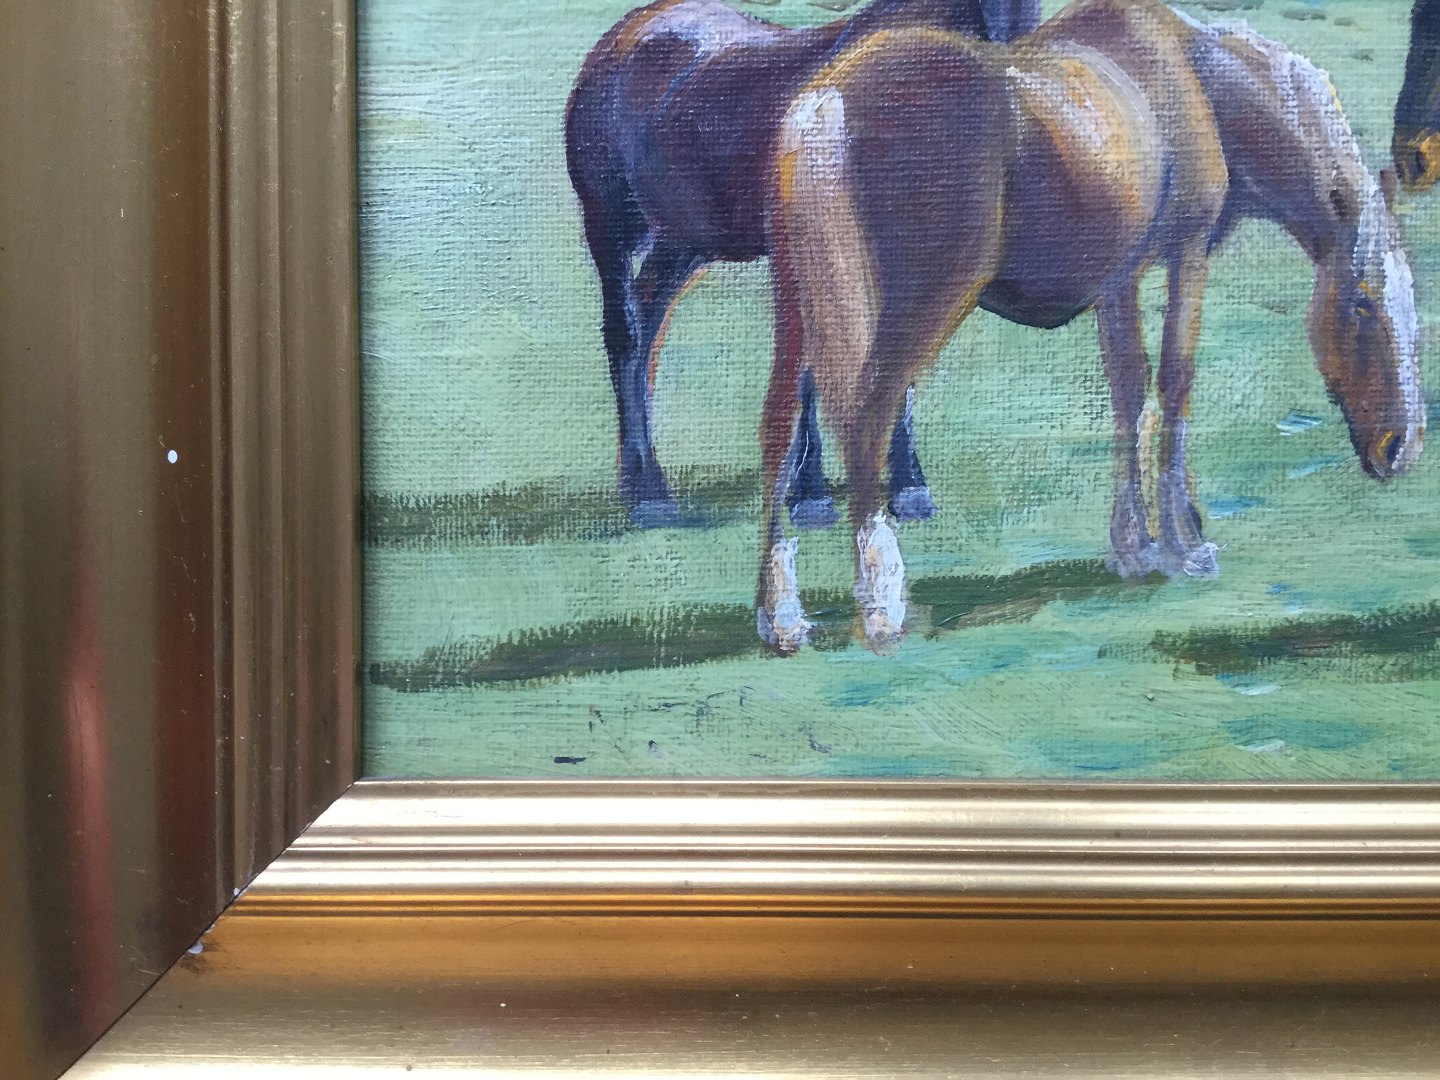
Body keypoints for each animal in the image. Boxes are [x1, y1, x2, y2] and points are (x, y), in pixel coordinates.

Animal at [564, 0, 1041, 528]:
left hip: (685, 243)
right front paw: (811, 493)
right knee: (625, 335)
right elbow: (812, 373)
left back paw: (636, 478)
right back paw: (650, 495)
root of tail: (631, 30)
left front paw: (907, 486)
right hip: (611, 227)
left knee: (649, 324)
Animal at [757, 0, 1425, 655]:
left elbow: (1128, 392)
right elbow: (1174, 385)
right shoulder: (1187, 254)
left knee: (778, 426)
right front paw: (1184, 543)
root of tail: (828, 100)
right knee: (867, 418)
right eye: (1362, 306)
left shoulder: (1116, 281)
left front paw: (1134, 544)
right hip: (916, 307)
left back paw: (780, 614)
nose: (1402, 448)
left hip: (797, 304)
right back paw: (881, 607)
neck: (1199, 79)